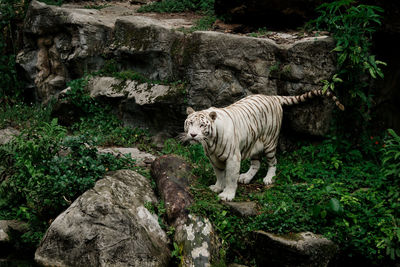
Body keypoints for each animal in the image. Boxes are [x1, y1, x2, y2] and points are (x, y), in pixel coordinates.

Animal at [184, 90, 344, 201]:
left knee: (273, 162)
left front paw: (227, 195)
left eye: (202, 125)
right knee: (256, 164)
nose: (192, 135)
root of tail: (272, 96)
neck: (211, 141)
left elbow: (230, 177)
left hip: (270, 142)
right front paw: (217, 187)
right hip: (254, 144)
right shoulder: (214, 158)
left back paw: (268, 179)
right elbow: (219, 175)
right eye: (190, 123)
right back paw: (246, 178)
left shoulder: (233, 158)